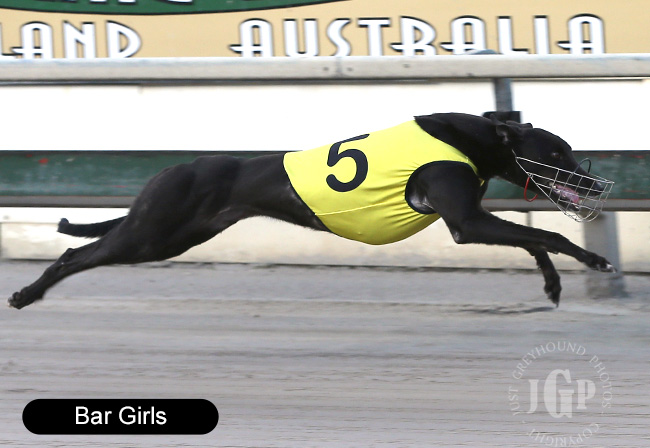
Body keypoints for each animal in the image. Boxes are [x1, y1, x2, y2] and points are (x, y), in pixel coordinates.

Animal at [8, 113, 616, 310]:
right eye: (556, 154)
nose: (594, 181)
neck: (476, 137)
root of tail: (172, 169)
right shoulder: (466, 223)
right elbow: (549, 237)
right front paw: (593, 262)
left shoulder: (472, 219)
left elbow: (535, 242)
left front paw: (553, 285)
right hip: (151, 234)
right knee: (72, 253)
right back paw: (25, 295)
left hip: (175, 235)